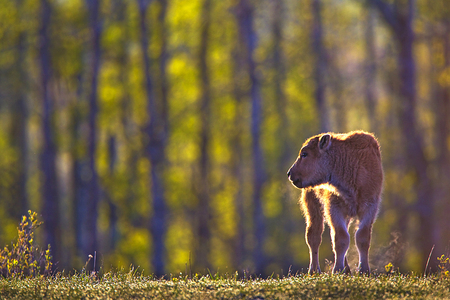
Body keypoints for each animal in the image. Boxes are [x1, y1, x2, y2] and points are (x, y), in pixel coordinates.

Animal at [288, 131, 384, 274]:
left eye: (304, 154)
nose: (289, 174)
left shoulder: (370, 208)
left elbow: (362, 238)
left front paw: (364, 270)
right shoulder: (334, 209)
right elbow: (341, 239)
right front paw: (337, 270)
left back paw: (347, 270)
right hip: (312, 205)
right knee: (314, 236)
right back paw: (314, 270)